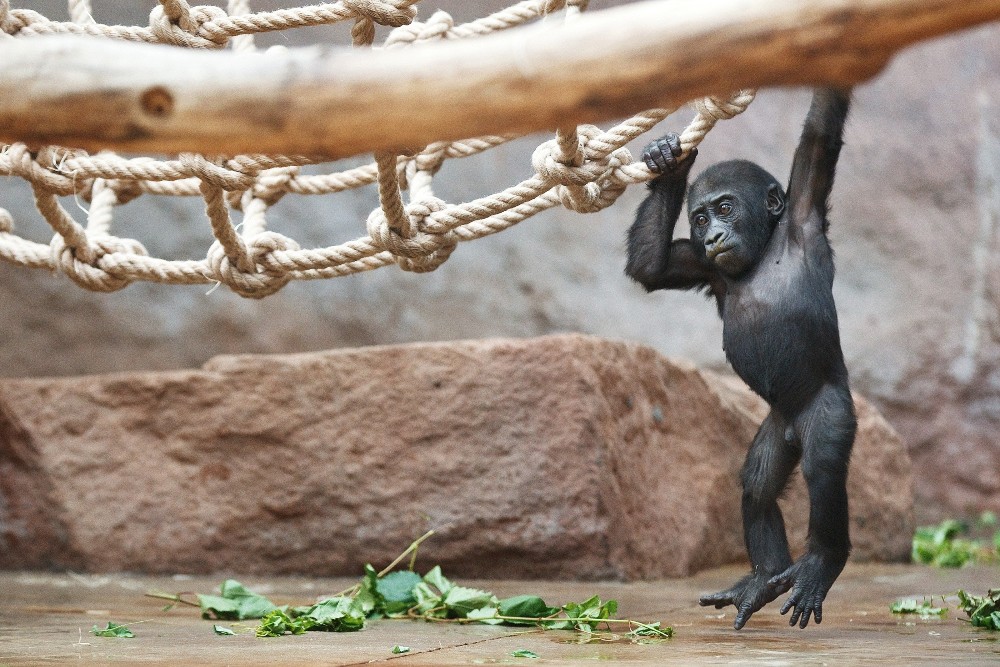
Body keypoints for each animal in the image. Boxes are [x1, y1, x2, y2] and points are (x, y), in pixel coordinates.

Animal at [624, 90, 852, 632]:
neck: (764, 249)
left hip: (828, 408)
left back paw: (822, 562)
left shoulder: (804, 213)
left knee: (823, 466)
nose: (713, 235)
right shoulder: (702, 265)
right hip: (776, 426)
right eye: (700, 218)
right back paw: (763, 577)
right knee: (758, 484)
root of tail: (794, 426)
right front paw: (669, 160)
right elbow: (652, 267)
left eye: (725, 207)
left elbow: (820, 134)